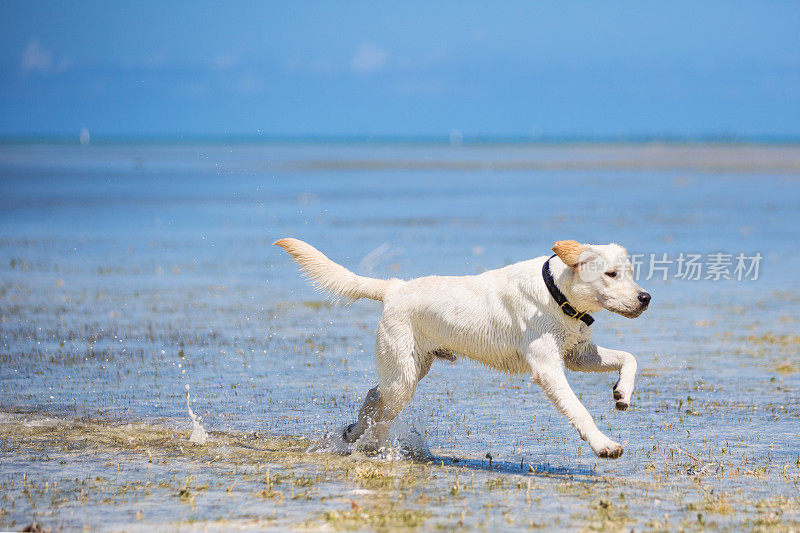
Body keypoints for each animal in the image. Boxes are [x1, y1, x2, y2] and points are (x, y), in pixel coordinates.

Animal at [276, 237, 648, 458]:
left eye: (630, 272)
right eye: (611, 274)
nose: (646, 298)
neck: (557, 294)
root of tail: (393, 287)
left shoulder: (577, 355)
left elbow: (630, 357)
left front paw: (622, 394)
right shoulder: (548, 368)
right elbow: (579, 409)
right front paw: (604, 445)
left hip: (411, 368)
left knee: (372, 395)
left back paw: (353, 432)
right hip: (404, 377)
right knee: (381, 419)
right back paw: (383, 452)